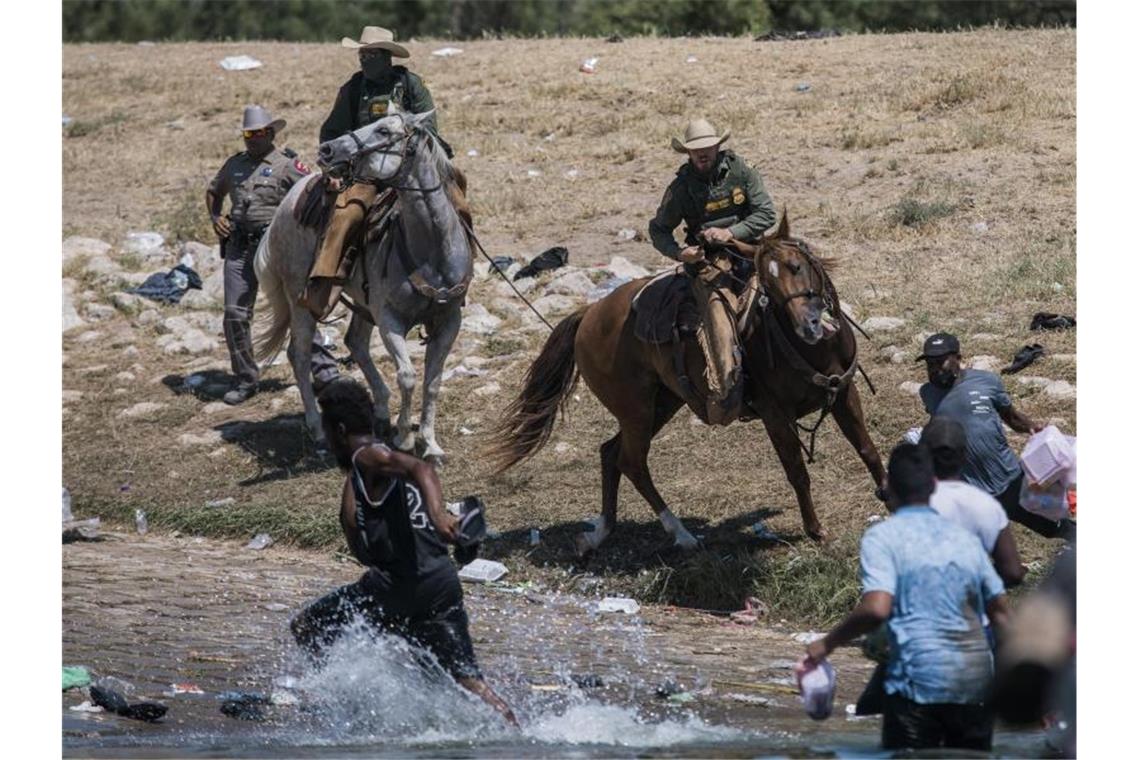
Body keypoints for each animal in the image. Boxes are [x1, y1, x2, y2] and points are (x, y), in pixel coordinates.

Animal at [254, 109, 471, 460]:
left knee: (354, 341)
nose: (327, 150)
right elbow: (408, 376)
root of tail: (285, 205)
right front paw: (405, 438)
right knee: (299, 355)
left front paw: (430, 443)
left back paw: (380, 412)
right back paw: (318, 431)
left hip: (362, 302)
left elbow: (433, 381)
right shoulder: (389, 319)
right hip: (301, 300)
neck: (431, 250)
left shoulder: (450, 319)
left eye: (383, 130)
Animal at [485, 215, 884, 558]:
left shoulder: (843, 393)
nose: (809, 325)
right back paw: (681, 534)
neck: (811, 349)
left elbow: (867, 449)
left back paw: (600, 533)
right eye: (766, 284)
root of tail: (589, 315)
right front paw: (816, 531)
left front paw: (887, 494)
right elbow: (797, 472)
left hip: (662, 404)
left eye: (797, 266)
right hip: (637, 410)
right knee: (631, 461)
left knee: (610, 453)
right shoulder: (775, 415)